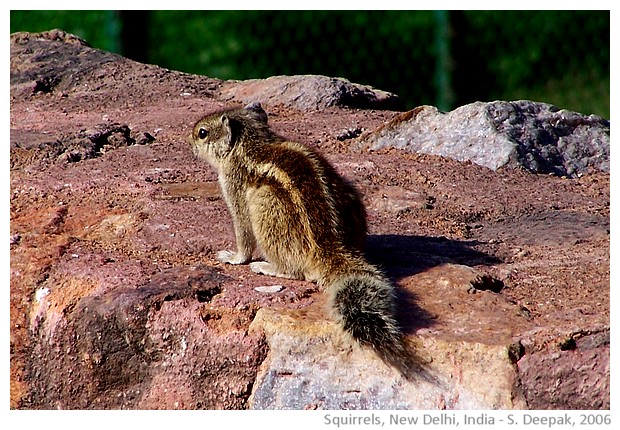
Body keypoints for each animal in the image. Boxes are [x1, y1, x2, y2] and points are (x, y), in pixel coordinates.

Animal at [189, 103, 412, 372]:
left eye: (202, 133)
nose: (189, 141)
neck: (251, 143)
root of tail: (329, 249)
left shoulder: (234, 189)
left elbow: (242, 233)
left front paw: (233, 257)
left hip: (264, 204)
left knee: (296, 271)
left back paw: (265, 266)